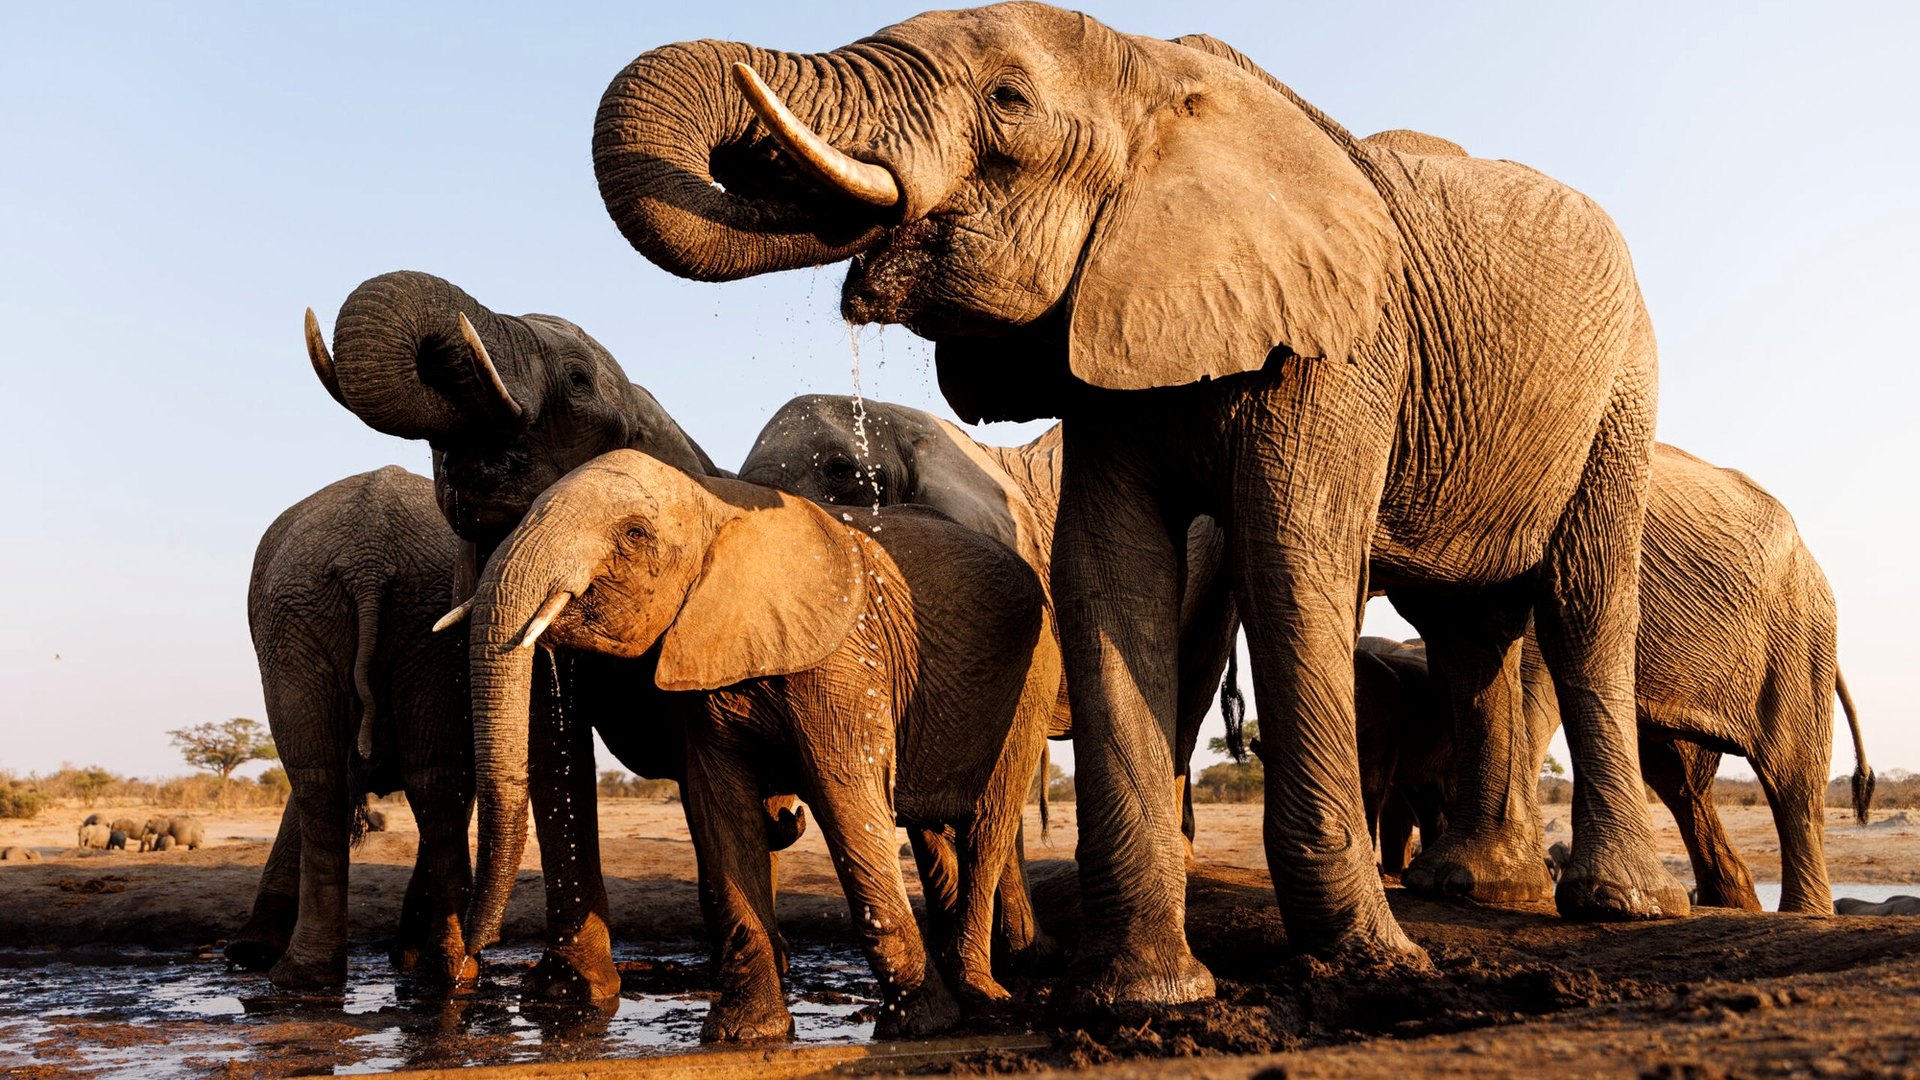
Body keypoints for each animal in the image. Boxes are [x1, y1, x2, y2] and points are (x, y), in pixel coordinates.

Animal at [445, 450, 1060, 1039]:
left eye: (635, 534)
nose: (471, 957)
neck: (716, 505)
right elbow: (723, 810)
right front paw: (745, 1031)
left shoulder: (842, 664)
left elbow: (847, 801)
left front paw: (919, 1024)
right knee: (934, 833)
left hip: (1031, 681)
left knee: (986, 826)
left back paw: (979, 994)